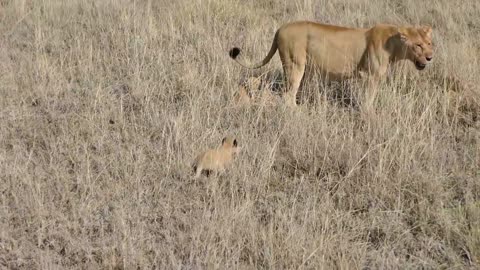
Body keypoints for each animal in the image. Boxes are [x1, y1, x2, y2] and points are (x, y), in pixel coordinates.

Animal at [227, 20, 434, 106]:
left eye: (430, 44)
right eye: (418, 45)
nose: (430, 57)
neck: (394, 43)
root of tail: (280, 28)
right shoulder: (369, 76)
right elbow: (369, 99)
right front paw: (371, 117)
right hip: (295, 65)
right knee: (288, 95)